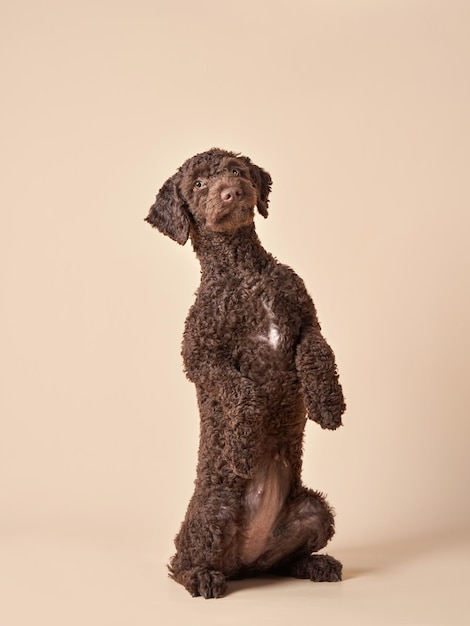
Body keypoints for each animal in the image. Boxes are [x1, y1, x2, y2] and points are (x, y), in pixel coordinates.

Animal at [145, 146, 346, 596]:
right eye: (198, 184)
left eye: (237, 170)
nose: (232, 192)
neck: (244, 275)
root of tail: (245, 560)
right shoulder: (201, 357)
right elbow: (242, 389)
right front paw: (241, 445)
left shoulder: (306, 321)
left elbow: (318, 352)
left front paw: (328, 405)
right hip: (214, 512)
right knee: (180, 564)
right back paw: (203, 578)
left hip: (314, 509)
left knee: (283, 561)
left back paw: (316, 564)